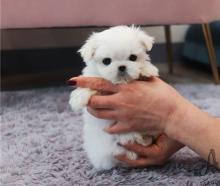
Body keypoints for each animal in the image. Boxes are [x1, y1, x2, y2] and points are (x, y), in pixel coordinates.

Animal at [69, 25, 158, 171]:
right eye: (106, 61)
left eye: (133, 57)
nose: (122, 66)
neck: (119, 83)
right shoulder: (93, 77)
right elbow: (89, 84)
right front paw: (78, 98)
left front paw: (146, 70)